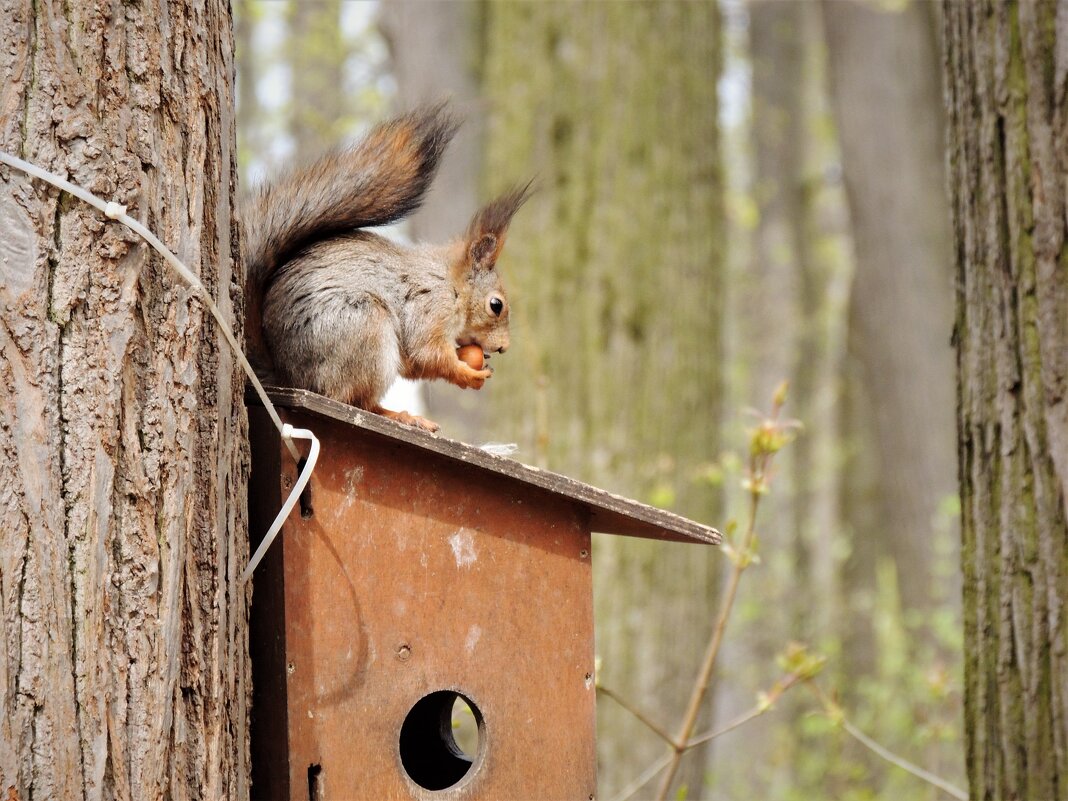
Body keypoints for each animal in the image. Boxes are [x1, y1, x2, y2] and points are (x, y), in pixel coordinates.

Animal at [240, 106, 527, 435]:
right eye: (496, 305)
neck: (451, 286)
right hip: (366, 331)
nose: (504, 347)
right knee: (357, 403)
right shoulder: (429, 309)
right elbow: (426, 353)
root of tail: (291, 377)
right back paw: (402, 417)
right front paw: (468, 374)